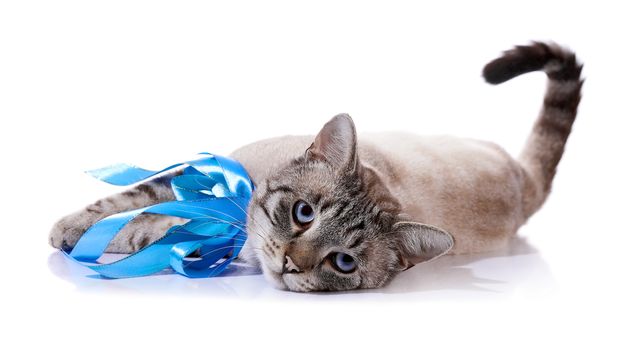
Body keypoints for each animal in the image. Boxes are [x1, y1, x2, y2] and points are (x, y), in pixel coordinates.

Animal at [50, 41, 584, 292]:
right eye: (303, 213)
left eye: (343, 262)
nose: (290, 262)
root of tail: (523, 180)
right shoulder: (203, 175)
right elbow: (130, 198)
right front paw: (70, 230)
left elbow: (145, 225)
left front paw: (96, 238)